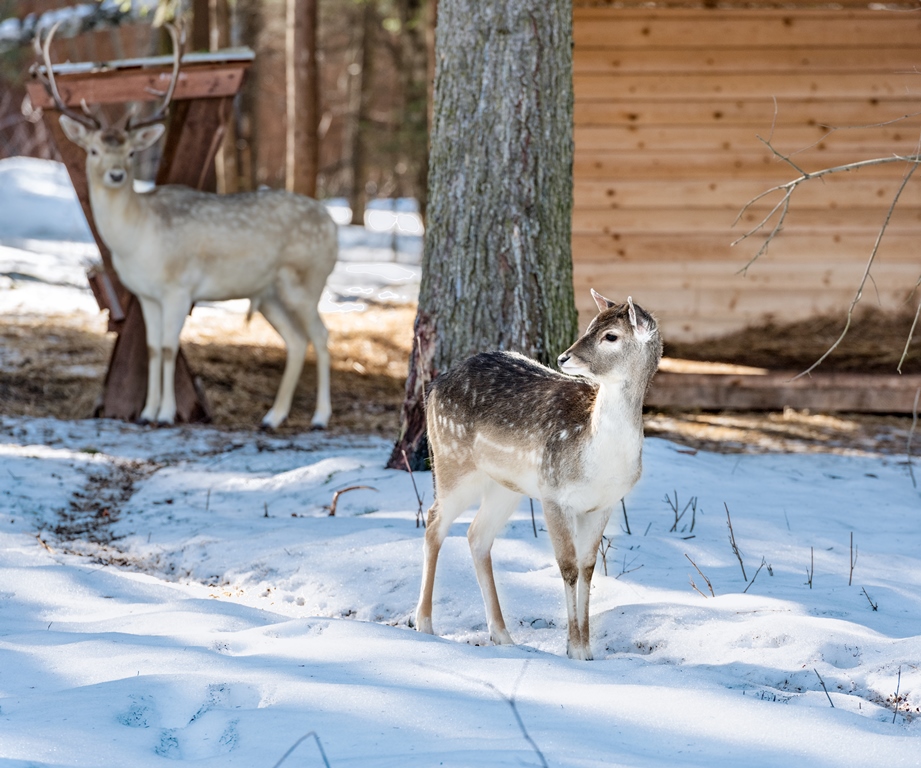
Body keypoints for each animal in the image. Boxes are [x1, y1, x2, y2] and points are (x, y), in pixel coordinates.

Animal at [38, 24, 338, 428]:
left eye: (131, 152)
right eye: (94, 150)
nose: (116, 175)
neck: (138, 240)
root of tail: (334, 225)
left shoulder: (178, 287)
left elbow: (168, 347)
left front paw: (165, 414)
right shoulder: (146, 295)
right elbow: (151, 348)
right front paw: (145, 412)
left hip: (307, 280)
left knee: (321, 335)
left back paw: (320, 417)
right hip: (270, 292)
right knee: (296, 339)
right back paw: (272, 417)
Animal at [416, 292, 660, 656]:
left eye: (611, 336)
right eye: (590, 325)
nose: (563, 356)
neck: (597, 457)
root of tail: (433, 386)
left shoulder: (604, 504)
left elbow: (588, 569)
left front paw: (585, 649)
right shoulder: (553, 492)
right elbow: (568, 567)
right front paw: (574, 649)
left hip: (504, 486)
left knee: (476, 535)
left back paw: (501, 634)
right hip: (452, 460)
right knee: (434, 523)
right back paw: (424, 623)